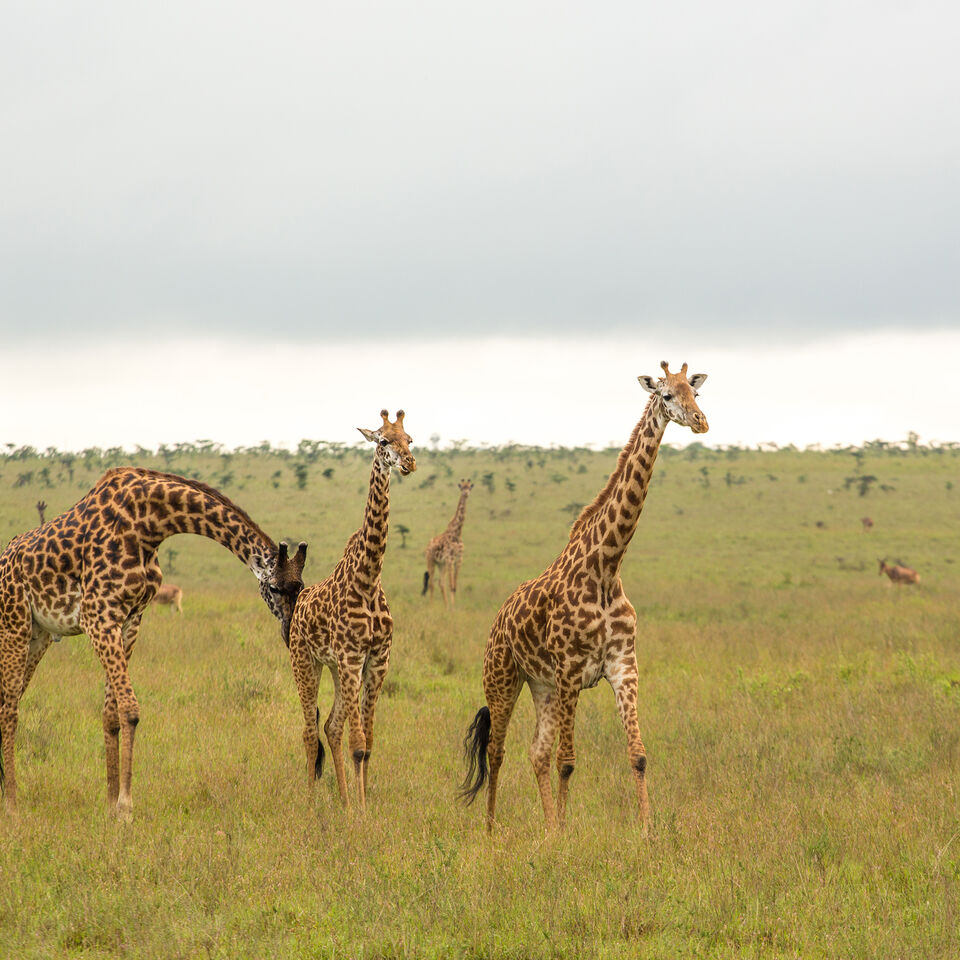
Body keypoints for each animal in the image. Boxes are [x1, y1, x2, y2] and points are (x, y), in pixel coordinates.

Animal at [0, 466, 308, 816]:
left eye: (300, 587)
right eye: (274, 588)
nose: (288, 632)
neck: (150, 523)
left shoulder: (131, 619)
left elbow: (111, 714)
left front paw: (111, 804)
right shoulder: (97, 616)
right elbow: (131, 709)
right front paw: (125, 808)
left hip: (38, 637)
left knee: (8, 700)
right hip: (14, 625)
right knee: (9, 710)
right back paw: (11, 804)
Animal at [288, 408, 416, 808]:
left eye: (410, 439)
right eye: (383, 440)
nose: (409, 463)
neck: (369, 579)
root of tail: (297, 607)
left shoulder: (377, 659)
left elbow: (368, 743)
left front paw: (362, 804)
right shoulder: (351, 657)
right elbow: (358, 744)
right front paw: (359, 813)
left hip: (336, 668)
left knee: (331, 727)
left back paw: (343, 799)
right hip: (306, 662)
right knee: (309, 732)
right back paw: (310, 801)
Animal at [424, 480, 476, 608]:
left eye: (469, 488)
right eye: (462, 488)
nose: (466, 494)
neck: (457, 534)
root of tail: (427, 546)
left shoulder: (458, 559)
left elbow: (454, 586)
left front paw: (452, 606)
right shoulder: (450, 559)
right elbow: (451, 585)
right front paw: (452, 607)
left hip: (441, 564)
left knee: (440, 582)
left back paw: (446, 605)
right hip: (431, 561)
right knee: (431, 583)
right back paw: (432, 606)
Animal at [462, 360, 708, 832]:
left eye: (696, 392)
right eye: (666, 394)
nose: (702, 422)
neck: (608, 567)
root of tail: (497, 619)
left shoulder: (623, 667)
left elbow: (638, 756)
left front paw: (646, 830)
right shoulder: (571, 671)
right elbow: (568, 760)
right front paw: (565, 834)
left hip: (541, 685)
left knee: (535, 753)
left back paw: (545, 826)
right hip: (502, 678)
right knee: (497, 751)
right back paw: (491, 827)